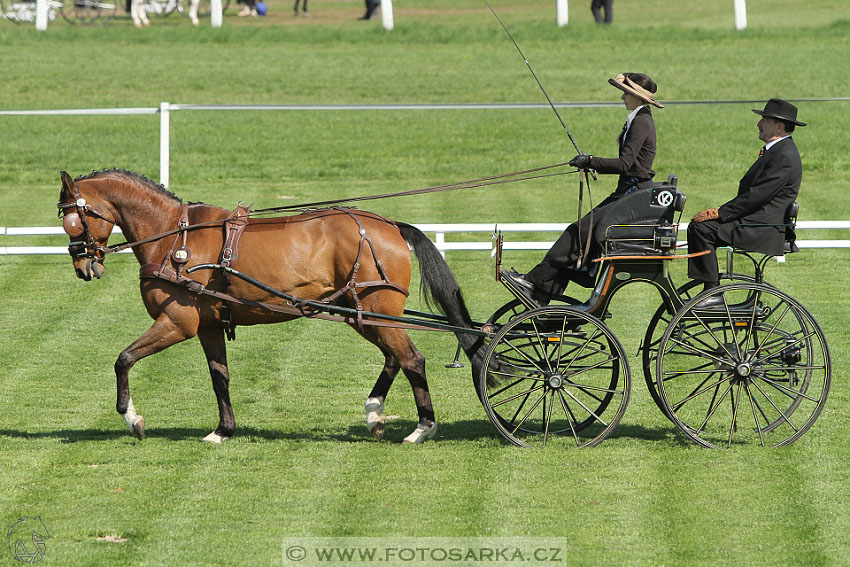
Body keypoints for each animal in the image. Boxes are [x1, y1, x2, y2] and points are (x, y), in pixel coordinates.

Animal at [58, 171, 484, 446]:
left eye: (71, 219)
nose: (83, 266)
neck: (174, 238)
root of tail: (389, 225)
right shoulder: (209, 326)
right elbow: (220, 377)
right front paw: (223, 430)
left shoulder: (178, 322)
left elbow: (124, 359)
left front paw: (132, 419)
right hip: (361, 313)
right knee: (395, 357)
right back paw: (375, 413)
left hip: (375, 310)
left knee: (411, 359)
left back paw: (422, 428)